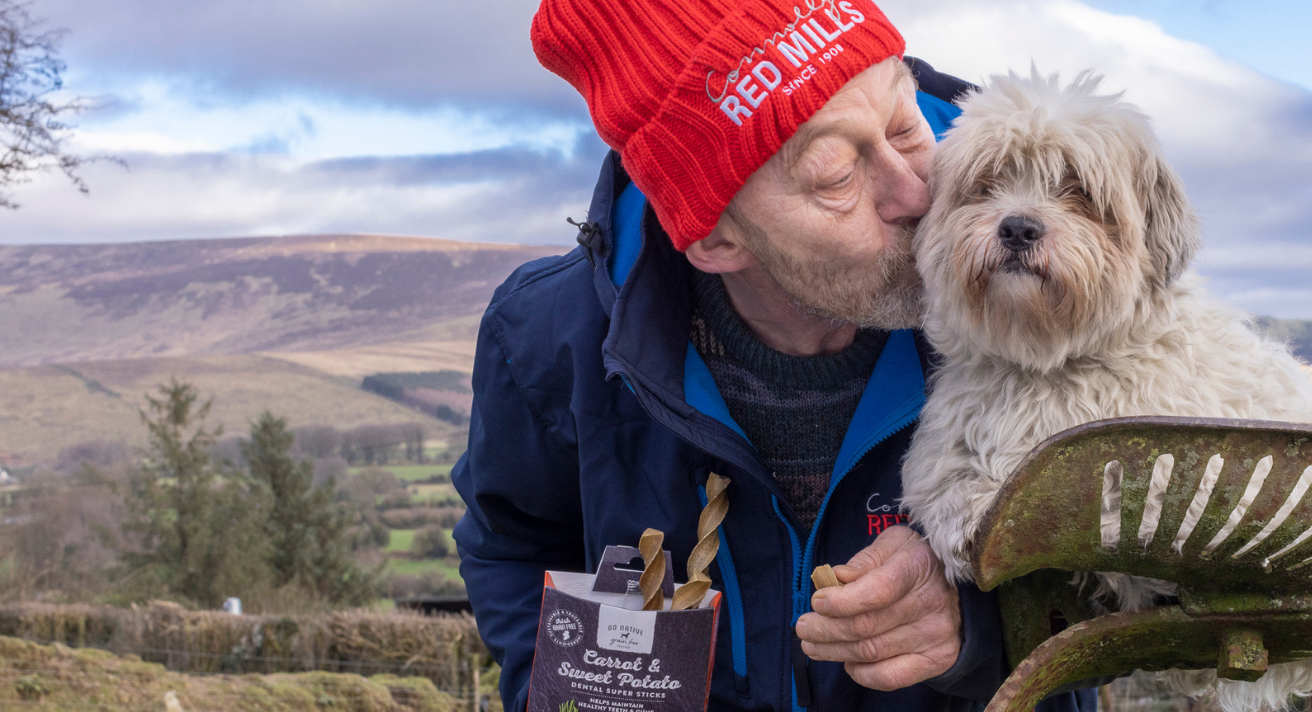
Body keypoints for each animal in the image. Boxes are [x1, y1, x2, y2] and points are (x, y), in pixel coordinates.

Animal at [902, 69, 1312, 708]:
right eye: (988, 183)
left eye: (1078, 190)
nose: (1018, 226)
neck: (1049, 362)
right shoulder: (950, 444)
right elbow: (945, 487)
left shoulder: (1187, 488)